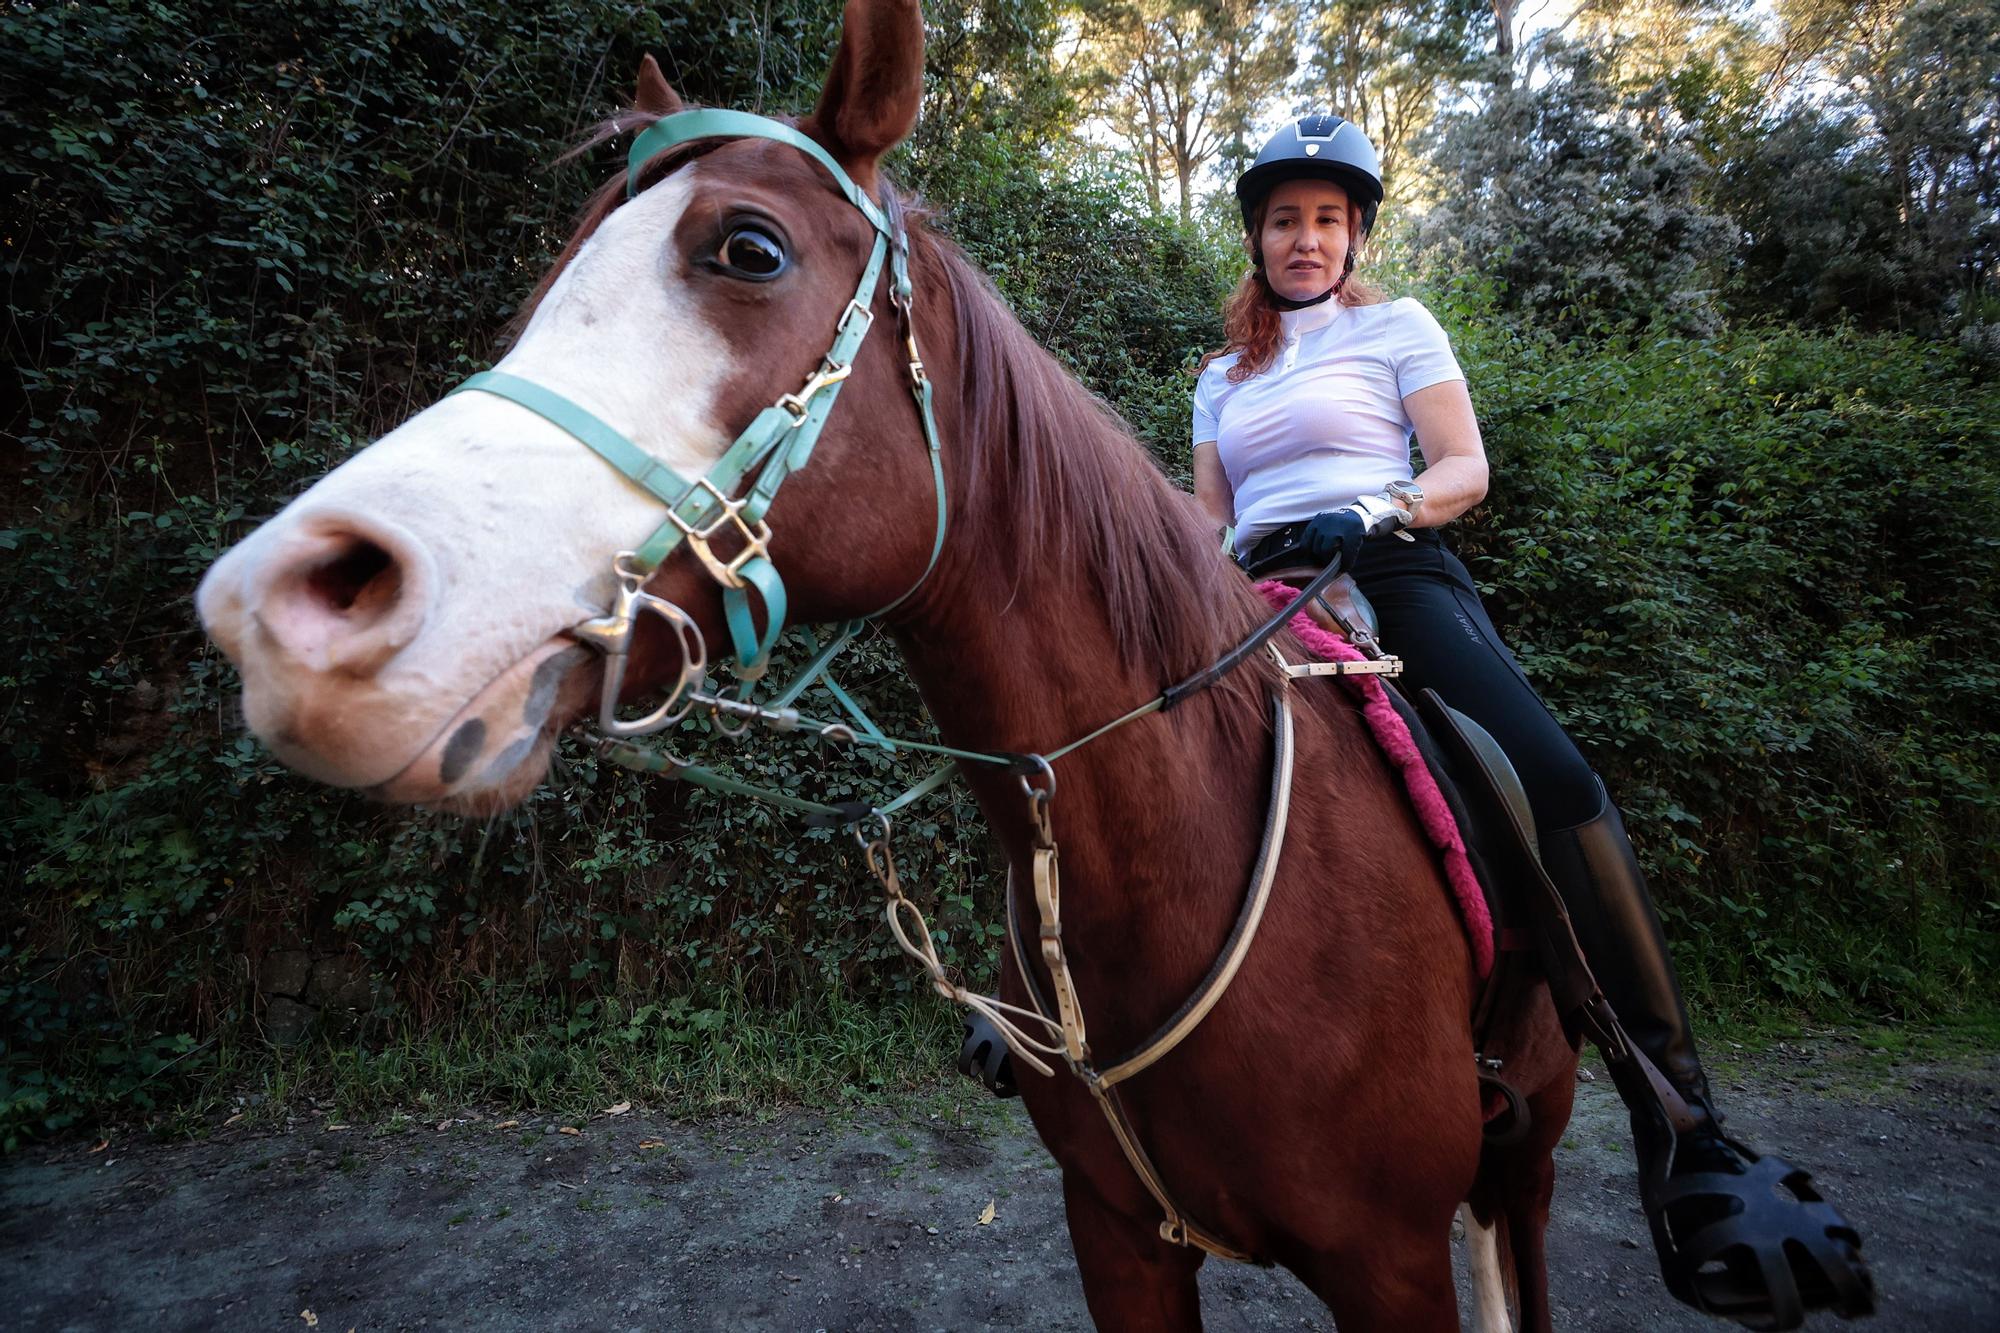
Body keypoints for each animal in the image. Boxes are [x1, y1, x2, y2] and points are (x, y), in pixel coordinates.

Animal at [203, 5, 1576, 1320]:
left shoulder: (1387, 1264)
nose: (287, 604)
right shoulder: (1117, 1239)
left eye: (748, 249)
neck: (1165, 856)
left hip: (1525, 1170)